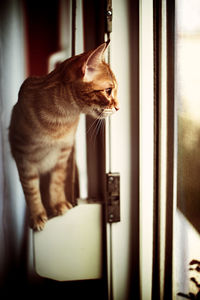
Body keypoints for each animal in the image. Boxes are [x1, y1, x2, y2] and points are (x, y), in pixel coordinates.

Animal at [9, 42, 119, 231]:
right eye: (108, 90)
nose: (118, 107)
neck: (60, 120)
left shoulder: (63, 154)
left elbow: (57, 183)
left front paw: (58, 204)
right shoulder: (24, 157)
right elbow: (31, 190)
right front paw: (37, 215)